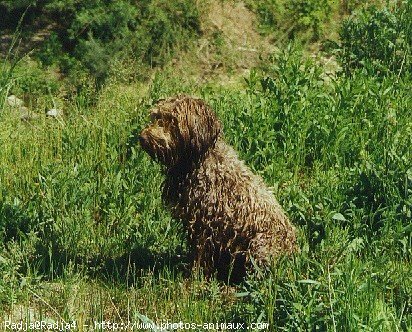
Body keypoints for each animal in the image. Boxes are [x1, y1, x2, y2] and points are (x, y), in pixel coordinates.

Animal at [139, 94, 296, 282]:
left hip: (259, 247)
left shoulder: (205, 225)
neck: (197, 162)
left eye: (173, 121)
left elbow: (200, 256)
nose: (143, 138)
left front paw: (195, 277)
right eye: (156, 117)